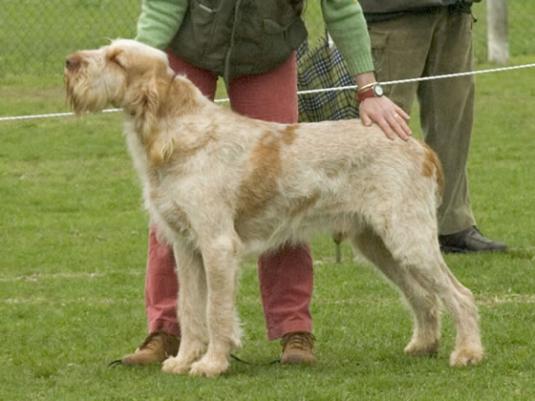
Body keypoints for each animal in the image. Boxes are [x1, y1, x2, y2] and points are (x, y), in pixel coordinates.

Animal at [65, 39, 484, 376]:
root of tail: (419, 146)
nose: (69, 61)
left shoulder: (217, 245)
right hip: (377, 245)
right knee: (424, 297)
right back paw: (423, 345)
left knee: (460, 295)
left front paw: (212, 364)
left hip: (408, 239)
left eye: (117, 59)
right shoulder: (186, 247)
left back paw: (467, 353)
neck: (182, 134)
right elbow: (189, 308)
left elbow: (215, 310)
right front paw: (183, 360)